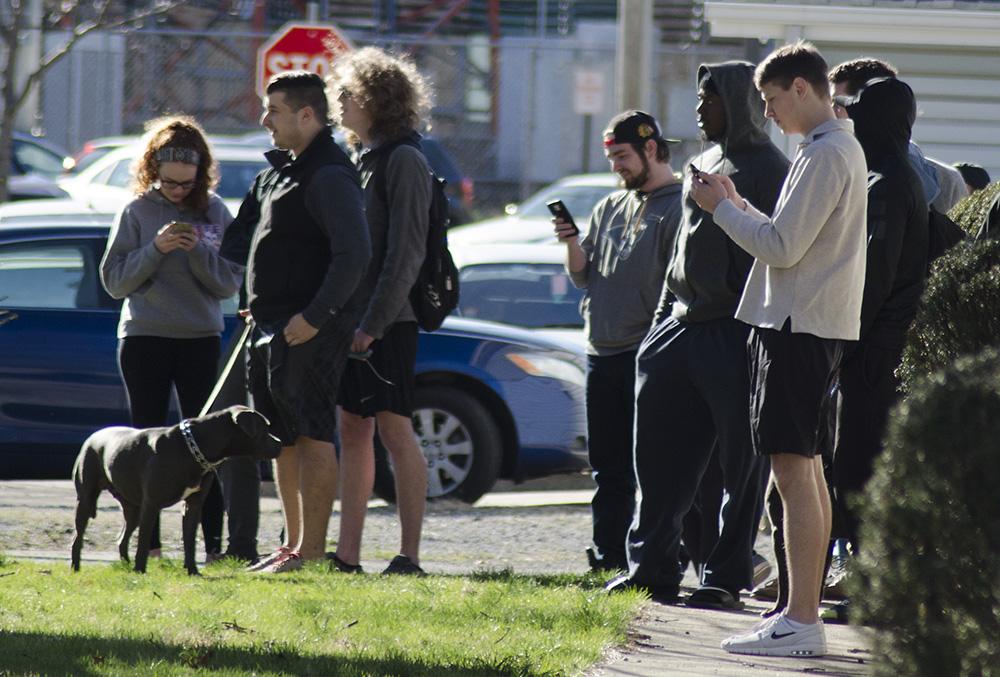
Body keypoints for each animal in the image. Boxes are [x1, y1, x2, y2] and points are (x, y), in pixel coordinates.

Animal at [71, 404, 282, 572]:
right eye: (264, 428)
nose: (280, 443)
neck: (193, 448)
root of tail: (93, 436)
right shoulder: (151, 505)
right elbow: (144, 541)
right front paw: (140, 571)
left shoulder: (193, 506)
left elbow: (189, 540)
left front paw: (192, 571)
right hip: (87, 499)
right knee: (78, 537)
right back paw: (76, 568)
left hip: (132, 508)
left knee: (122, 538)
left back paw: (125, 566)